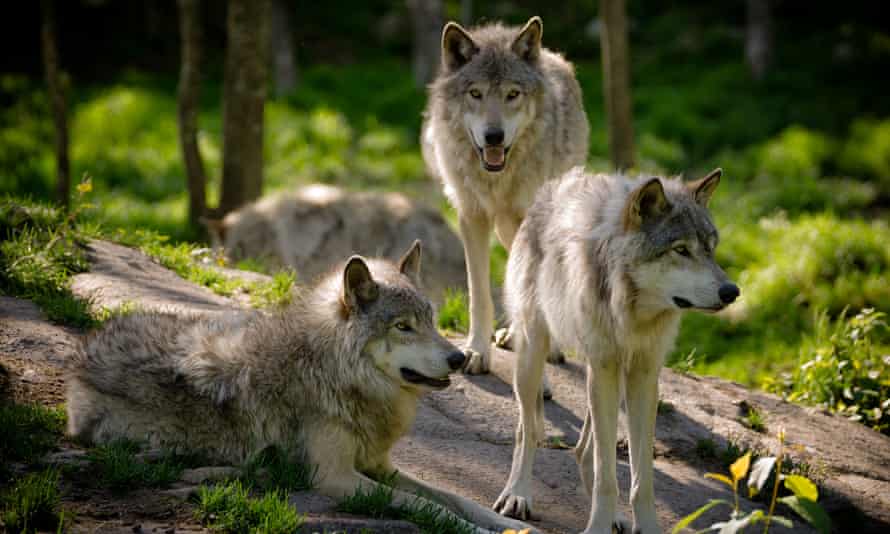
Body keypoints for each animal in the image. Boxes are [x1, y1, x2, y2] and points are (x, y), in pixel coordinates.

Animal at [66, 242, 535, 534]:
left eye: (432, 321)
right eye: (403, 327)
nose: (458, 359)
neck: (334, 372)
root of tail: (83, 351)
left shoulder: (380, 465)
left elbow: (456, 497)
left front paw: (508, 523)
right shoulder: (336, 477)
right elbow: (429, 506)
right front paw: (473, 529)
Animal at [422, 16, 589, 375]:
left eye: (513, 94)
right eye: (476, 93)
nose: (494, 136)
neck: (497, 178)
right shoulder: (471, 217)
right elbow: (479, 294)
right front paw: (476, 352)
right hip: (503, 228)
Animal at [493, 168, 739, 533]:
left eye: (711, 249)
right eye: (680, 249)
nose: (732, 291)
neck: (631, 310)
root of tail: (551, 189)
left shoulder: (643, 375)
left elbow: (641, 476)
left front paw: (644, 525)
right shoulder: (604, 367)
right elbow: (606, 475)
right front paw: (596, 526)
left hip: (608, 379)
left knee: (583, 450)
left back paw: (617, 518)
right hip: (534, 356)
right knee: (528, 430)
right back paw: (517, 495)